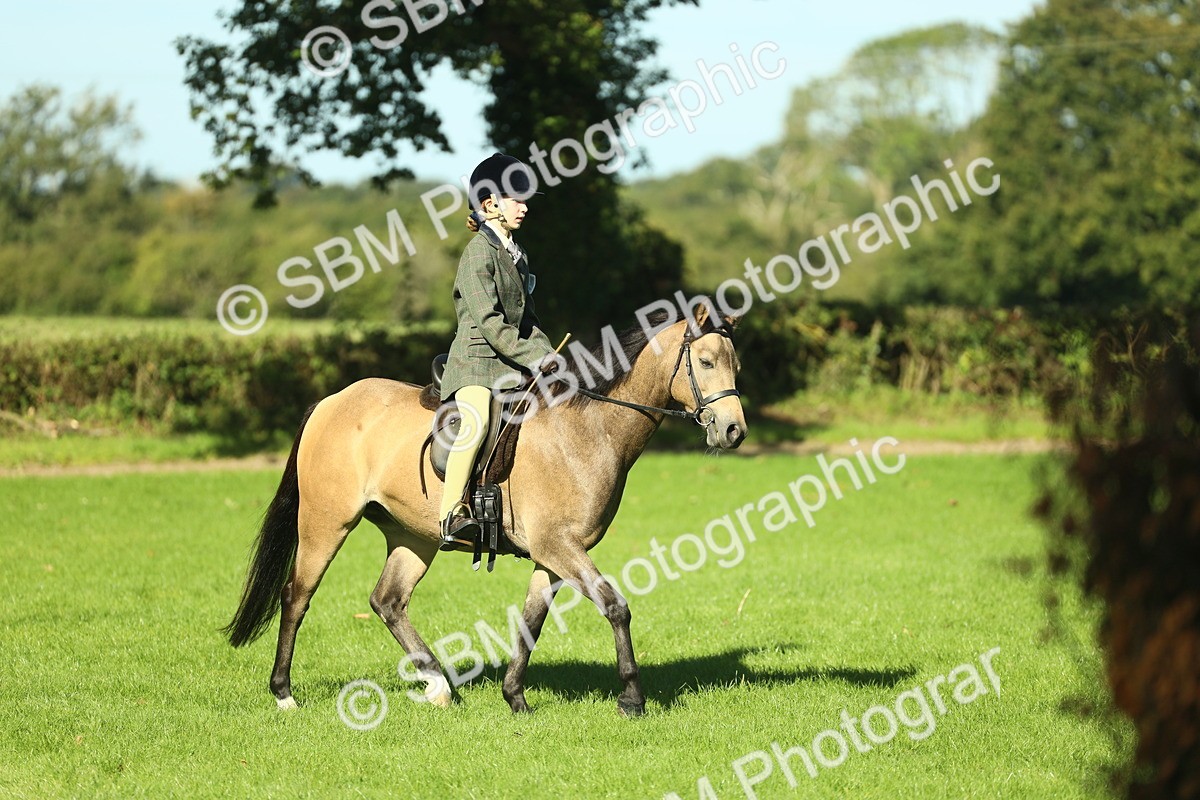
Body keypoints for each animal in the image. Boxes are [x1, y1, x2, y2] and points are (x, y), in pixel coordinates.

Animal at [223, 304, 747, 716]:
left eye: (736, 365)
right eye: (705, 362)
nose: (733, 431)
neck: (585, 427)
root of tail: (332, 401)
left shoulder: (553, 554)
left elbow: (531, 621)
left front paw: (515, 697)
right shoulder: (559, 547)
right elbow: (615, 606)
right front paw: (632, 699)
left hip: (414, 536)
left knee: (388, 601)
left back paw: (438, 686)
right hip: (326, 524)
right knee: (297, 596)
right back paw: (284, 694)